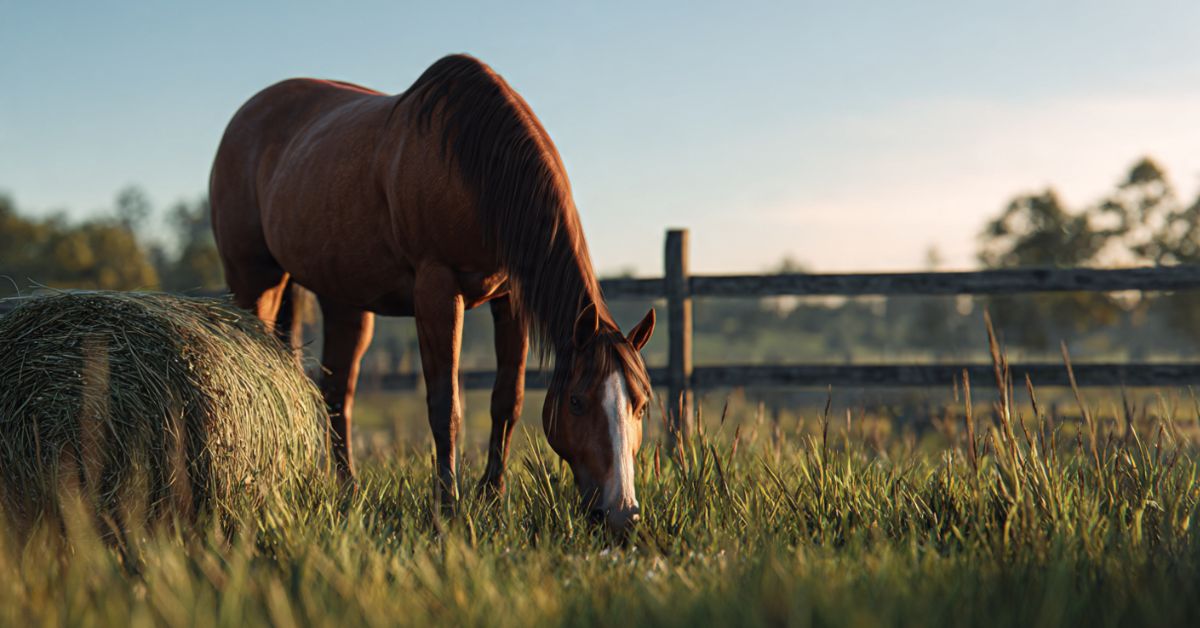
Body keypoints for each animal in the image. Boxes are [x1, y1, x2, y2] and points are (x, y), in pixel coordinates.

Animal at [210, 54, 655, 531]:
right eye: (576, 401)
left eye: (641, 404)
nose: (622, 512)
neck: (472, 163)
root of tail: (244, 118)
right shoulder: (437, 289)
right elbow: (446, 408)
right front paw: (448, 508)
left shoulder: (510, 299)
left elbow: (507, 401)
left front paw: (492, 498)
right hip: (255, 281)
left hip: (343, 301)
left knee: (335, 393)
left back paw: (347, 491)